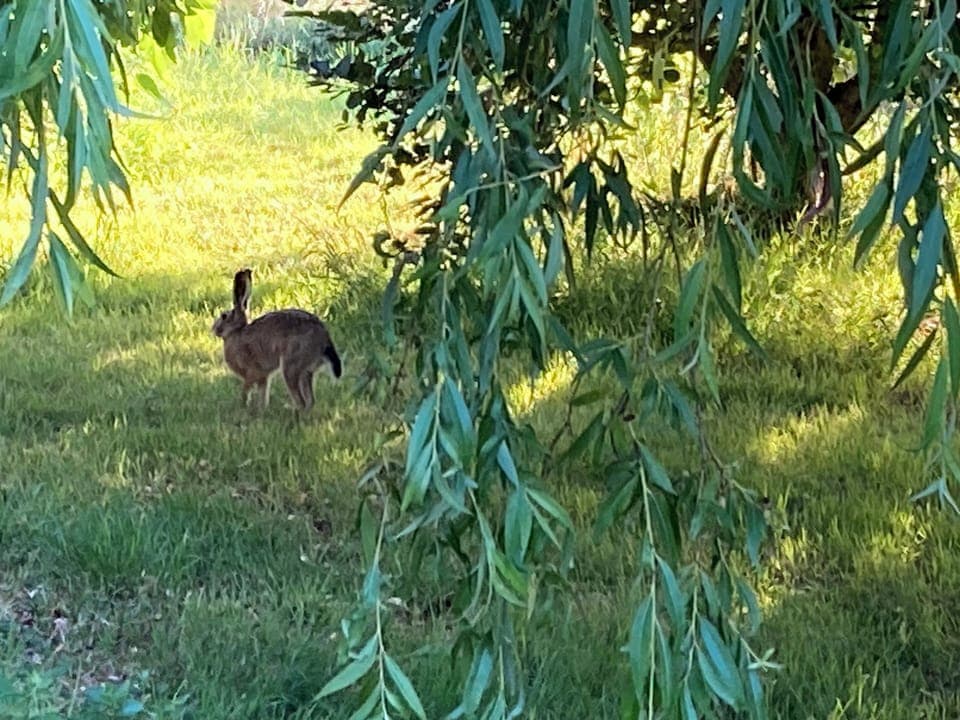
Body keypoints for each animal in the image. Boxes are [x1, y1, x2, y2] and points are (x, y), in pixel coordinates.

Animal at [212, 269, 342, 411]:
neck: (236, 331)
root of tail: (324, 341)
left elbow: (245, 392)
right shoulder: (263, 377)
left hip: (291, 367)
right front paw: (261, 410)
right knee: (310, 401)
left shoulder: (252, 373)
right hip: (306, 372)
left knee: (301, 401)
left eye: (224, 316)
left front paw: (243, 407)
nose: (214, 329)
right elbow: (263, 395)